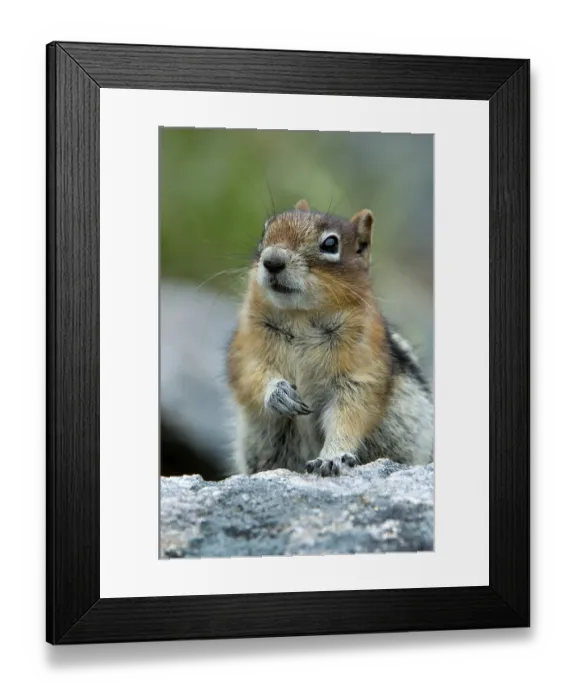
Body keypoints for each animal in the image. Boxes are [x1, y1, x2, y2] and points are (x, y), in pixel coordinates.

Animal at [226, 200, 433, 476]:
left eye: (330, 244)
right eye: (264, 232)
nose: (272, 261)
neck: (300, 316)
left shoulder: (363, 364)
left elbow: (351, 412)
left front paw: (333, 456)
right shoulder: (246, 346)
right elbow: (249, 375)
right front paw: (278, 393)